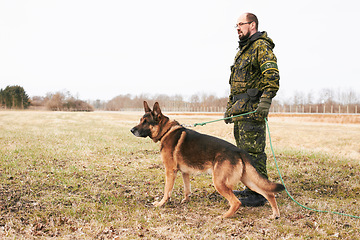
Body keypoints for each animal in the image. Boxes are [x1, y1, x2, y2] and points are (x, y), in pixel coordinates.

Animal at [131, 102, 286, 218]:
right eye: (140, 120)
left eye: (146, 122)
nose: (132, 130)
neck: (166, 130)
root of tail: (239, 151)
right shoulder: (184, 172)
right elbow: (187, 189)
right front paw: (186, 201)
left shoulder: (170, 171)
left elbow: (167, 190)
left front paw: (161, 203)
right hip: (248, 180)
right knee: (269, 193)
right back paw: (275, 214)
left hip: (219, 182)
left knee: (236, 202)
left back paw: (224, 216)